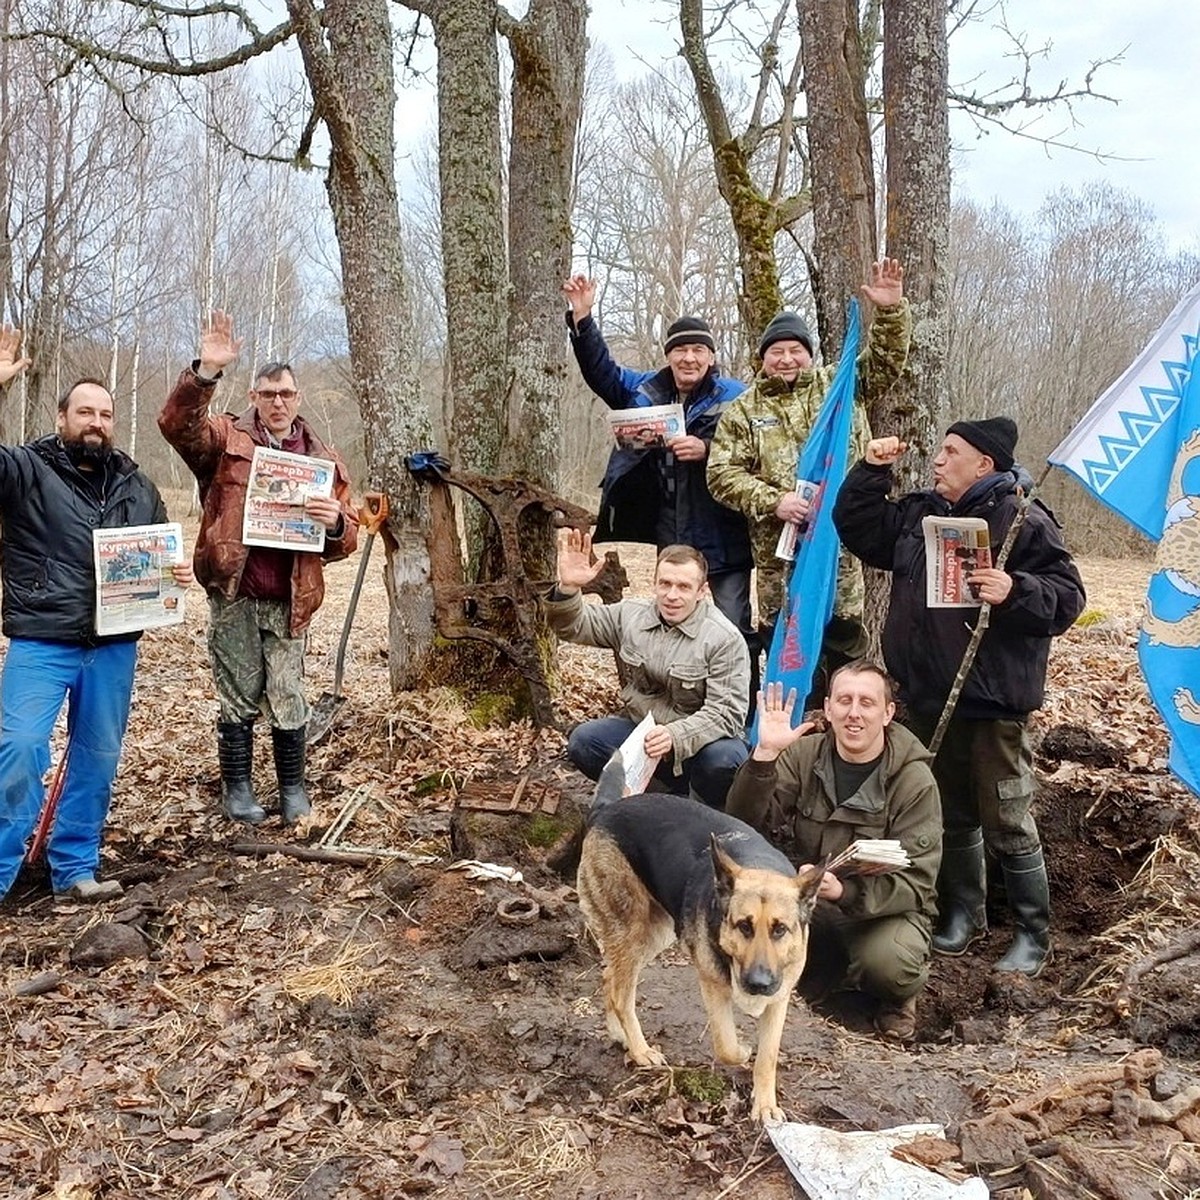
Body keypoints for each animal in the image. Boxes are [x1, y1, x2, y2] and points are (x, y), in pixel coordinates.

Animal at [573, 768, 820, 1123]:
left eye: (780, 930)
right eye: (744, 925)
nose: (758, 984)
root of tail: (606, 809)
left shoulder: (779, 999)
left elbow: (768, 1057)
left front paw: (765, 1105)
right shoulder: (714, 988)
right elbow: (727, 1046)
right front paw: (744, 1050)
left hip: (656, 933)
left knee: (611, 978)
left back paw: (621, 1035)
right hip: (633, 930)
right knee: (621, 994)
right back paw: (640, 1050)